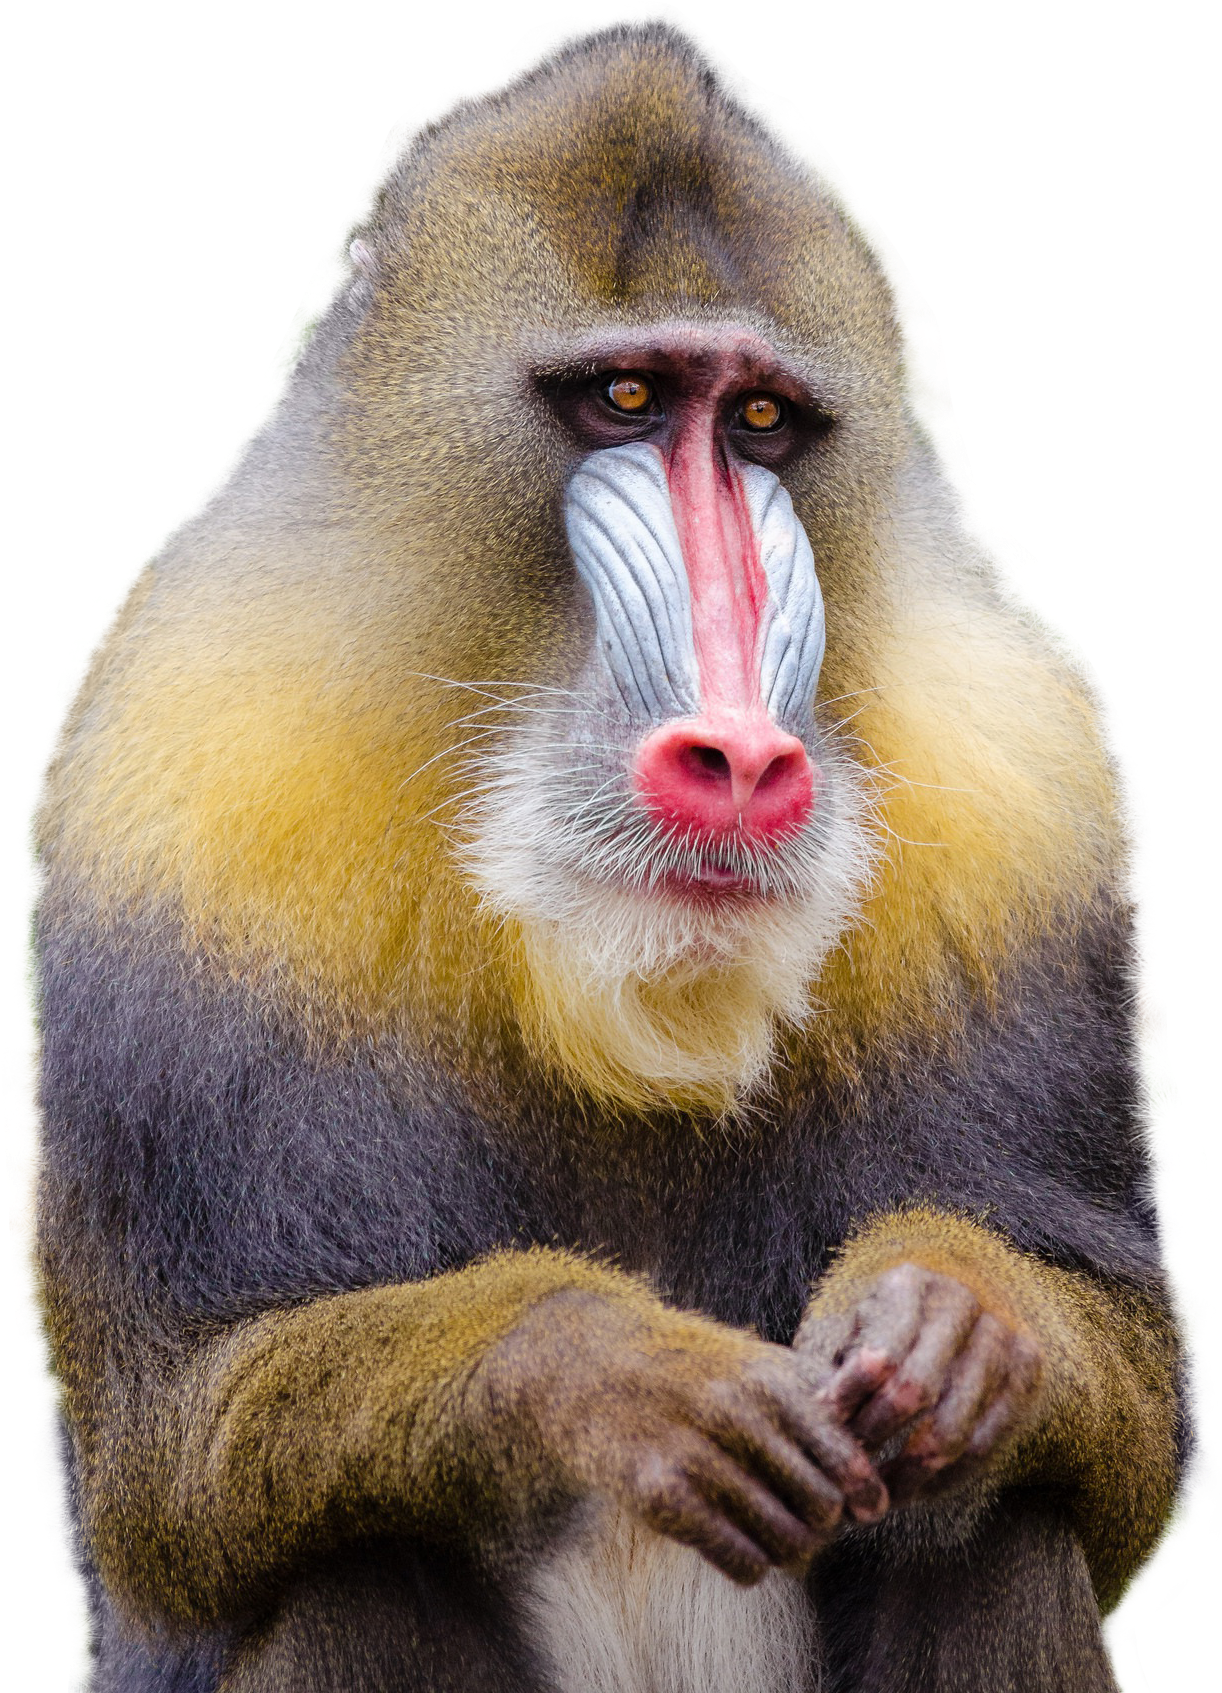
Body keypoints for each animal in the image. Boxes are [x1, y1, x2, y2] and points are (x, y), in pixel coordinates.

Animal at [18, 12, 1206, 1692]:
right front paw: (615, 1372)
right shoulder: (184, 810)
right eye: (626, 397)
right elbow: (175, 1460)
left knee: (999, 1530)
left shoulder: (1030, 813)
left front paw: (951, 1324)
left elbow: (1122, 1421)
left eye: (760, 423)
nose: (741, 759)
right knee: (344, 1562)